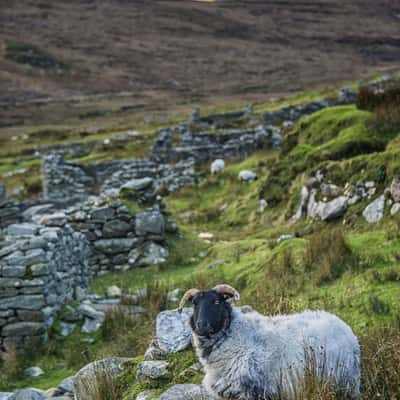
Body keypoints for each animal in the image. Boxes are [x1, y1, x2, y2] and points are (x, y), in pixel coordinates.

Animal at [180, 284, 360, 400]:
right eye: (194, 304)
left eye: (217, 302)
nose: (201, 325)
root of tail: (348, 331)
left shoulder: (252, 391)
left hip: (344, 380)